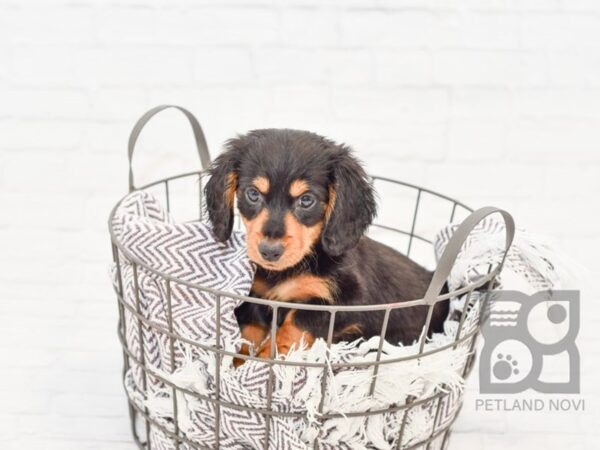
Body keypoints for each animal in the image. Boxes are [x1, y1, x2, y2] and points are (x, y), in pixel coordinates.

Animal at [204, 128, 448, 360]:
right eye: (253, 194)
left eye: (306, 200)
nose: (269, 251)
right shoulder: (256, 296)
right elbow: (248, 332)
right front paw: (239, 362)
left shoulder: (350, 301)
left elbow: (298, 319)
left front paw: (266, 356)